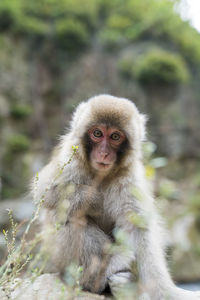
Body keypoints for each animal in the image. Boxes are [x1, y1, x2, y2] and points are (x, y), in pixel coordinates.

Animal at [32, 95, 200, 298]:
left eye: (115, 136)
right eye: (97, 133)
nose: (104, 153)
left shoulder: (130, 180)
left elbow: (137, 227)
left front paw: (165, 291)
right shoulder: (70, 160)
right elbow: (45, 190)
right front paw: (94, 200)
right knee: (65, 212)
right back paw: (98, 276)